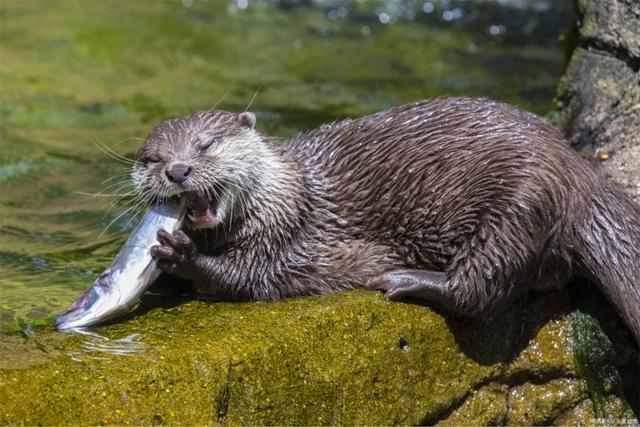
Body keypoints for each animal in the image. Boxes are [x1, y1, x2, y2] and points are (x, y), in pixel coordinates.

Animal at [131, 96, 640, 344]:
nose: (177, 170)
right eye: (150, 159)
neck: (291, 195)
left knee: (482, 285)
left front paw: (181, 256)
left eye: (208, 144)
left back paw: (408, 280)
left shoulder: (290, 237)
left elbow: (247, 277)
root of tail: (581, 176)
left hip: (519, 203)